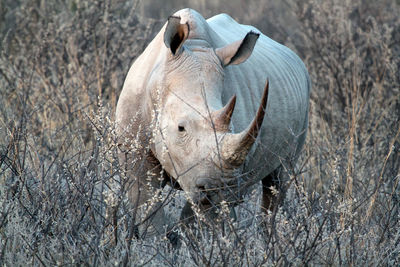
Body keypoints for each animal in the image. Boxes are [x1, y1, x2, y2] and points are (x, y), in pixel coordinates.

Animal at [115, 8, 310, 237]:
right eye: (181, 128)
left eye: (232, 127)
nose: (217, 187)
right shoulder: (133, 151)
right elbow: (147, 208)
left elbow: (200, 217)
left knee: (277, 181)